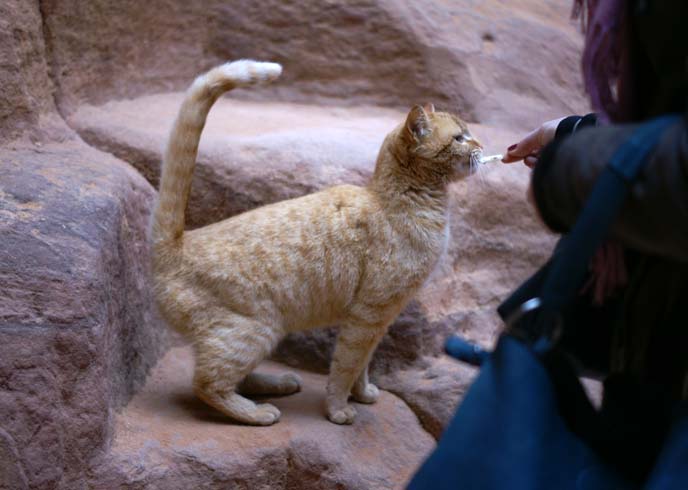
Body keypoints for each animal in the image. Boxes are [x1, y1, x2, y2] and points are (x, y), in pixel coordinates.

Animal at [150, 58, 484, 424]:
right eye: (460, 137)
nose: (481, 147)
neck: (397, 200)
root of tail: (177, 244)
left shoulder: (377, 321)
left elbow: (363, 364)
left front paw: (363, 394)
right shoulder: (367, 315)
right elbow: (345, 367)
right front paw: (338, 410)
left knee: (234, 377)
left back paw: (277, 384)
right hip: (253, 331)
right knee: (207, 383)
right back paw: (258, 413)